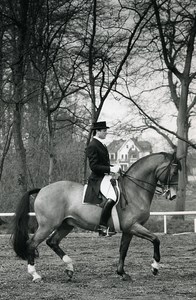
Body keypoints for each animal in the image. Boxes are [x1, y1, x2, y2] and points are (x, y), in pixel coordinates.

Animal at [11, 152, 181, 282]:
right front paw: (155, 268)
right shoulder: (133, 226)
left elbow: (123, 250)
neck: (134, 191)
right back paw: (35, 275)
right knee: (32, 244)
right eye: (174, 172)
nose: (173, 196)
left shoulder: (128, 230)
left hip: (67, 224)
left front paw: (122, 273)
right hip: (47, 225)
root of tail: (42, 190)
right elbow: (156, 239)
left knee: (52, 242)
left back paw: (70, 268)